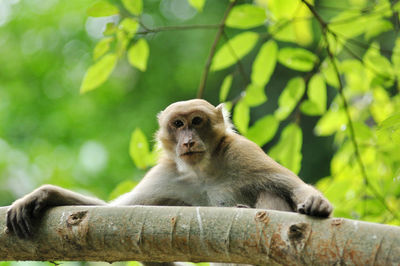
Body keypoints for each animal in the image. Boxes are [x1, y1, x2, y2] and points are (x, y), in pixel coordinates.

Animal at [5, 98, 332, 264]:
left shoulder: (243, 152)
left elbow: (289, 184)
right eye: (178, 124)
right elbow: (115, 211)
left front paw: (316, 201)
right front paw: (45, 195)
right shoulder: (166, 174)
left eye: (196, 121)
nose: (187, 140)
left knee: (270, 191)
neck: (203, 170)